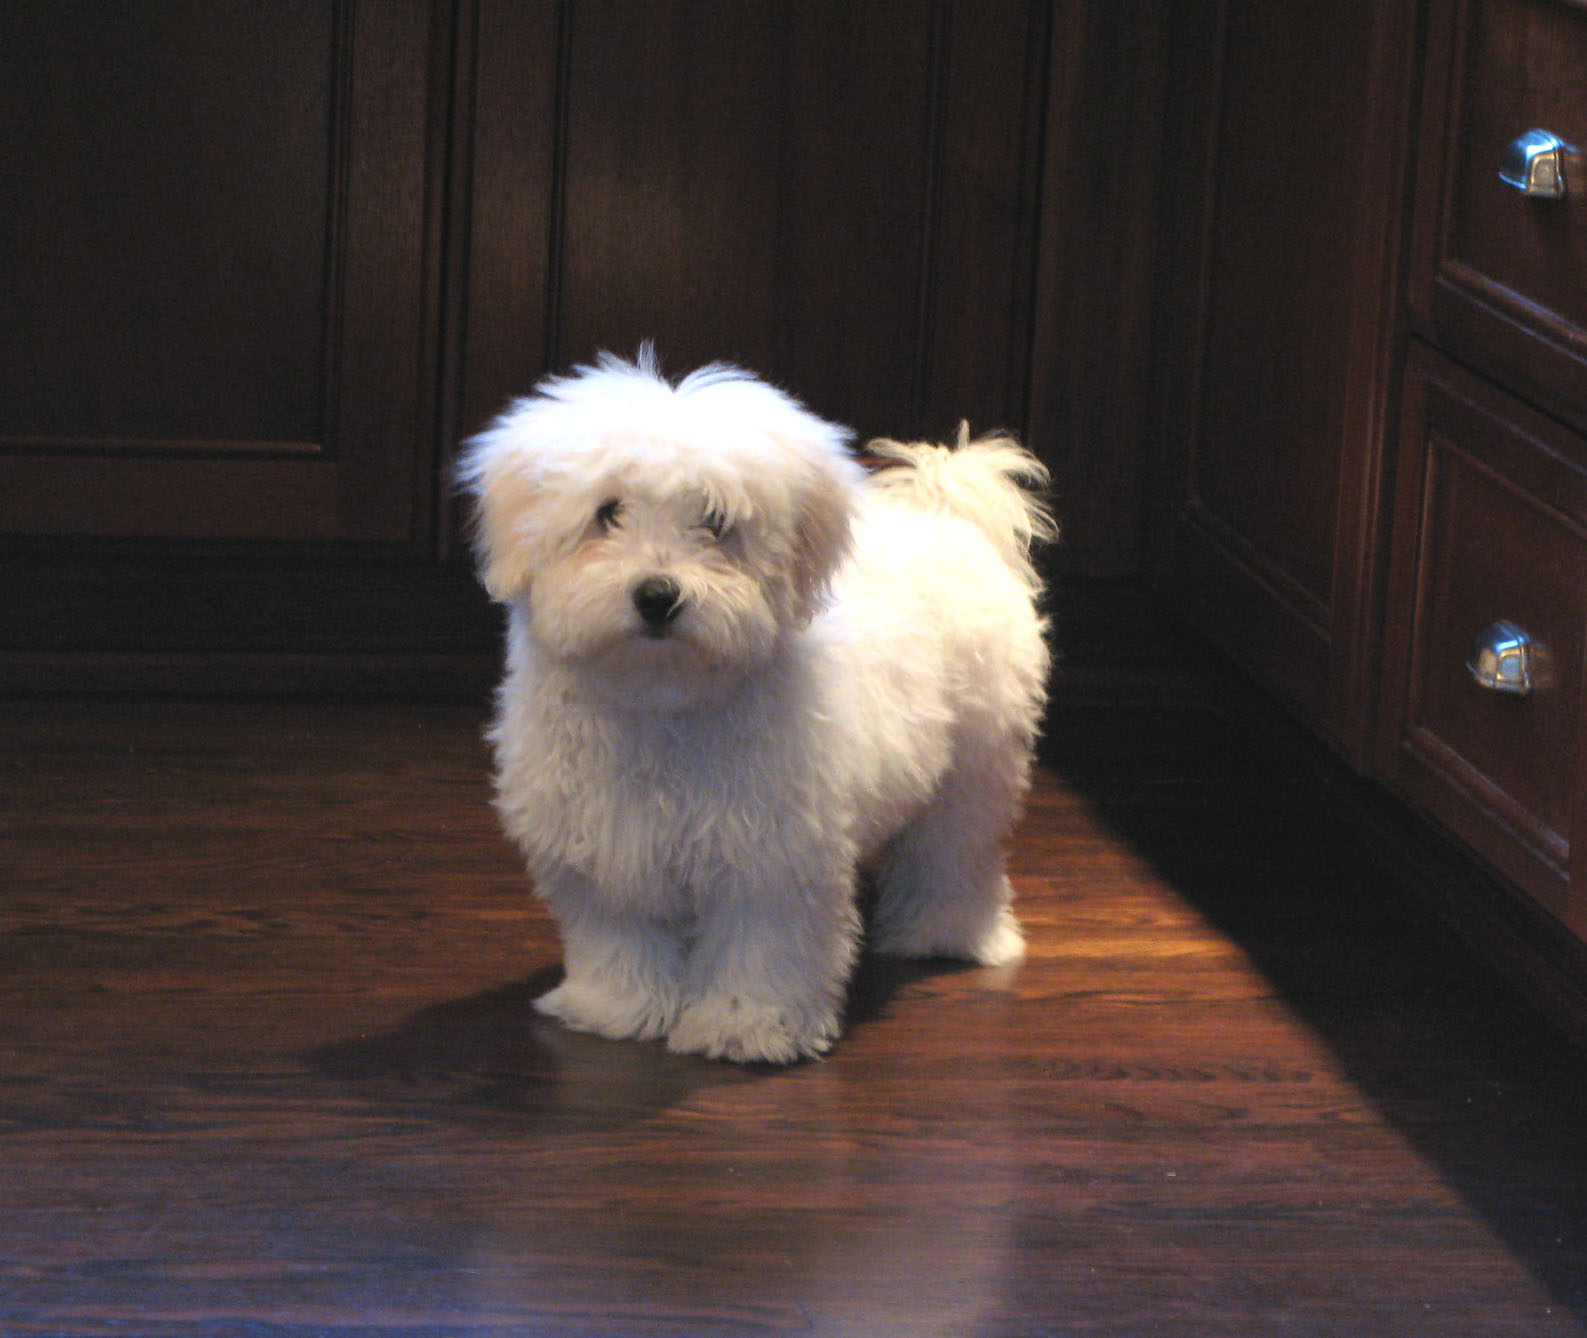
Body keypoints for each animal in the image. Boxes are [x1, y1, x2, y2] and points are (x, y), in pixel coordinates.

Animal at [460, 350, 1053, 1060]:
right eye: (607, 513)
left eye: (715, 522)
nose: (657, 596)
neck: (664, 701)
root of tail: (948, 517)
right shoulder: (610, 842)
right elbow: (621, 935)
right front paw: (615, 1008)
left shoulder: (771, 852)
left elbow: (761, 946)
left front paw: (747, 1025)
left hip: (974, 765)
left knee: (956, 855)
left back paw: (948, 935)